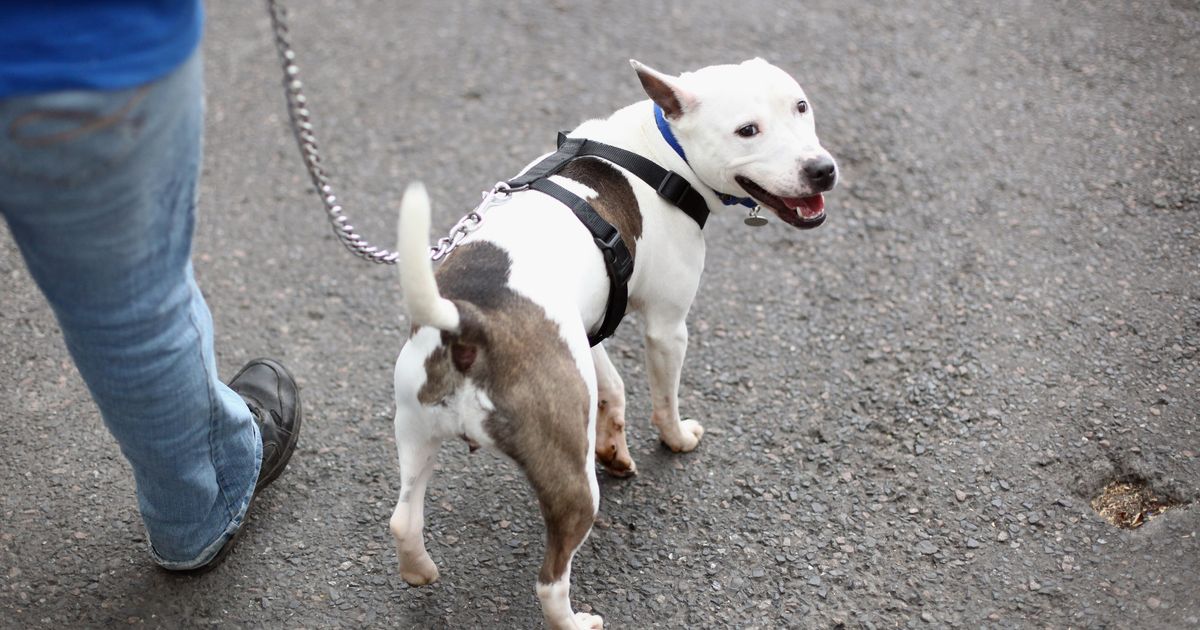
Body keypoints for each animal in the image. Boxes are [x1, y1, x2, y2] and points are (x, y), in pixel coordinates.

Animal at [388, 60, 840, 628]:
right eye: (747, 130)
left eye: (800, 106)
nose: (822, 170)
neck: (661, 149)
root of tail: (470, 323)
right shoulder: (667, 327)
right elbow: (664, 400)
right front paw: (678, 439)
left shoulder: (588, 327)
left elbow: (613, 386)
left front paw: (616, 448)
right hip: (570, 481)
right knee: (550, 580)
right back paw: (576, 619)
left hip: (415, 430)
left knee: (403, 520)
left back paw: (420, 571)